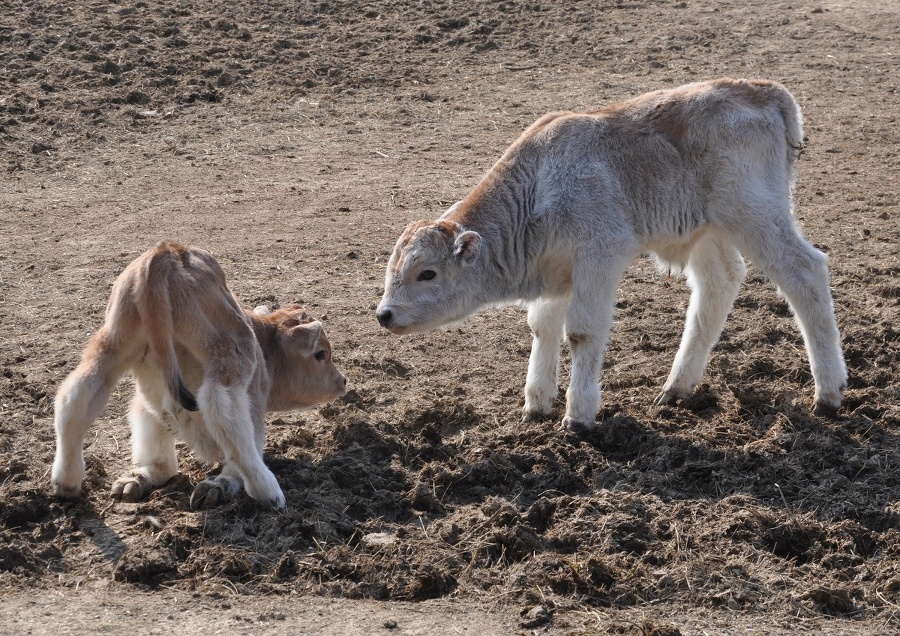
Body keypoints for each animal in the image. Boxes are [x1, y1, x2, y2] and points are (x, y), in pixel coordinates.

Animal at [51, 241, 348, 510]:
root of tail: (166, 252)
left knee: (75, 398)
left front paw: (142, 476)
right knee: (221, 409)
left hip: (111, 345)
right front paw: (224, 483)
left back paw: (67, 481)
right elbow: (248, 438)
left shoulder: (147, 399)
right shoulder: (253, 400)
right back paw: (268, 490)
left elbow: (154, 440)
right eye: (321, 353)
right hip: (228, 357)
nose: (343, 381)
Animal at [376, 77, 848, 430]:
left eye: (427, 273)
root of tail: (763, 91)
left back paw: (828, 393)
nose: (384, 314)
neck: (538, 186)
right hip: (709, 233)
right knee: (719, 285)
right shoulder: (557, 273)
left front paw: (577, 416)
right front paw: (535, 405)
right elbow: (542, 327)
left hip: (756, 218)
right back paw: (675, 388)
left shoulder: (598, 260)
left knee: (806, 272)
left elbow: (581, 331)